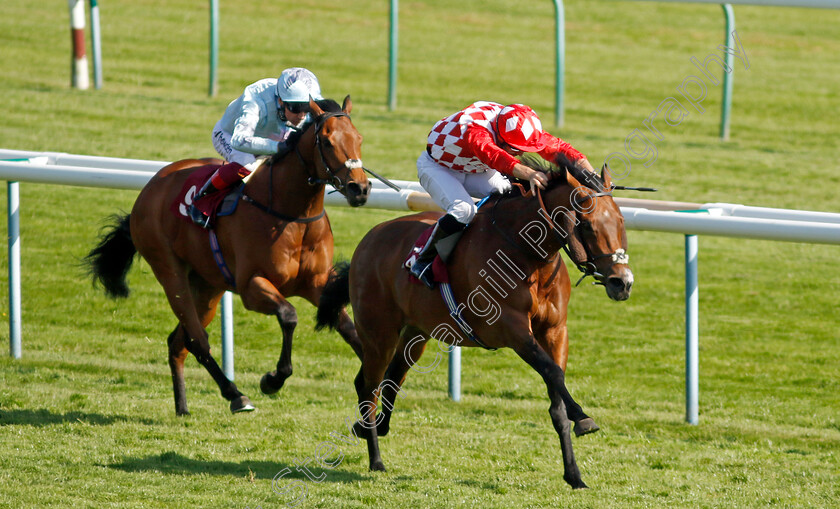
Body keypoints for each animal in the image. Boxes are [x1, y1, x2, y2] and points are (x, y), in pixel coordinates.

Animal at [85, 97, 370, 414]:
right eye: (327, 141)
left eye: (359, 138)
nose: (360, 188)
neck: (292, 215)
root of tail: (150, 187)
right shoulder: (251, 285)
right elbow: (289, 315)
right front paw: (272, 380)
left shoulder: (317, 283)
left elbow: (349, 329)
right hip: (171, 273)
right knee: (197, 340)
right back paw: (235, 395)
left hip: (208, 285)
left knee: (178, 342)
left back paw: (183, 406)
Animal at [318, 165, 632, 486]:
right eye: (588, 225)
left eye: (621, 221)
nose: (622, 282)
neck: (527, 254)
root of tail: (369, 239)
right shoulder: (511, 329)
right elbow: (553, 372)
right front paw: (583, 417)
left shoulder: (555, 331)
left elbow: (556, 394)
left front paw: (574, 473)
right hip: (379, 333)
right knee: (368, 386)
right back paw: (376, 458)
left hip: (417, 333)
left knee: (392, 379)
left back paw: (373, 428)